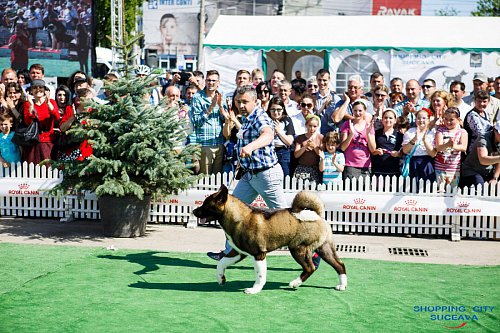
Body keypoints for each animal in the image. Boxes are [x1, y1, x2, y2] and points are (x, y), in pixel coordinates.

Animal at [192, 184, 348, 294]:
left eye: (206, 205)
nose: (193, 211)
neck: (239, 218)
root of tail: (317, 215)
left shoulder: (259, 254)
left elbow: (260, 275)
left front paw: (254, 290)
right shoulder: (238, 252)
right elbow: (221, 263)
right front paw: (221, 278)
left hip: (298, 249)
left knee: (310, 268)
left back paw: (295, 283)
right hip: (324, 249)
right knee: (340, 265)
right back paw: (342, 285)